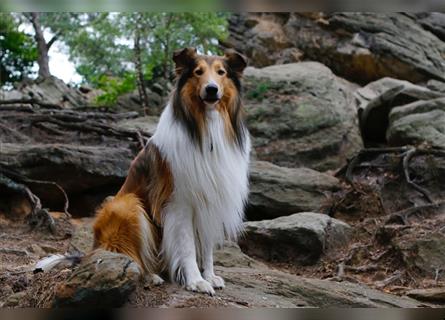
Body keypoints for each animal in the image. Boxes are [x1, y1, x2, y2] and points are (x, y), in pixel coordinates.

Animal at [92, 47, 250, 296]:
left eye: (221, 72)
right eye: (198, 72)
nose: (211, 89)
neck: (206, 128)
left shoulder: (210, 199)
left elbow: (207, 247)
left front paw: (209, 276)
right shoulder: (179, 202)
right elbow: (187, 246)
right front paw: (196, 281)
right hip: (125, 205)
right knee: (125, 255)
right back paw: (149, 276)